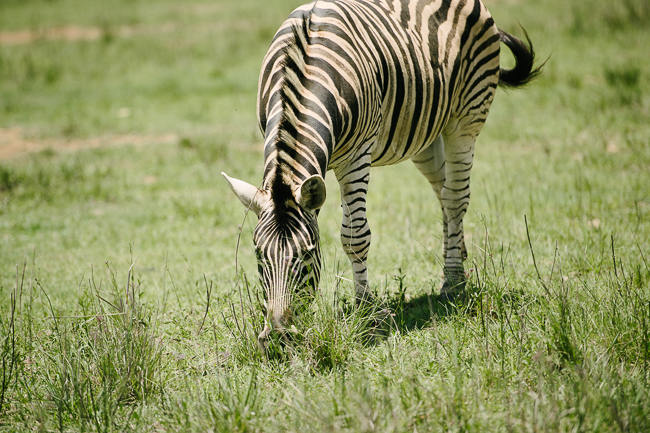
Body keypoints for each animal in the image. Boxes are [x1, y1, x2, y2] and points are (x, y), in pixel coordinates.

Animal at [220, 0, 540, 344]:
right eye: (258, 255)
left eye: (307, 254)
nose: (278, 335)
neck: (301, 66)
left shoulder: (356, 158)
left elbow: (354, 235)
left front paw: (365, 308)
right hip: (423, 132)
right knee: (443, 190)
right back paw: (459, 256)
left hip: (465, 118)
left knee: (456, 198)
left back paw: (453, 282)